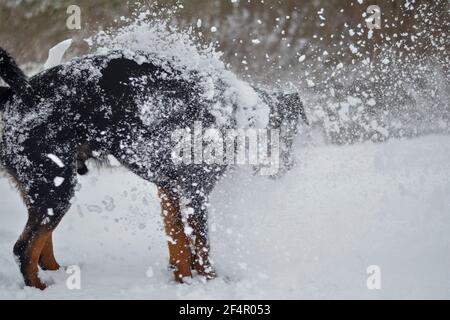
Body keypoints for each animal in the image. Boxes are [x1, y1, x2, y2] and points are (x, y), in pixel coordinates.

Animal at [0, 47, 306, 290]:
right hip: (56, 187)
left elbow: (178, 243)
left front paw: (183, 279)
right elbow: (201, 247)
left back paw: (60, 276)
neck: (235, 112)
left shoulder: (168, 188)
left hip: (46, 187)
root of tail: (13, 99)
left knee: (41, 246)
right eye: (288, 137)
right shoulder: (196, 190)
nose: (289, 167)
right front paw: (211, 282)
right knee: (23, 250)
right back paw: (42, 288)